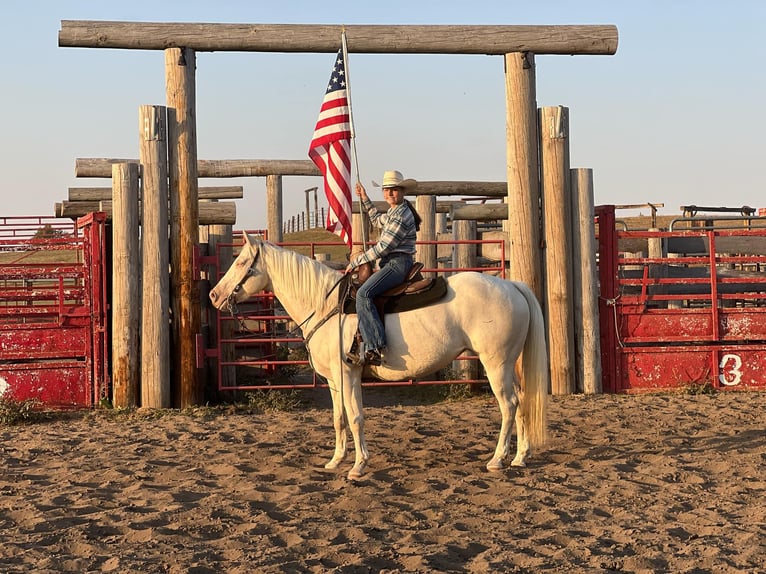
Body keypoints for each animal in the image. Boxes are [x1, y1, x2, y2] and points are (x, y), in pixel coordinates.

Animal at [207, 234, 548, 482]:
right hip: (510, 364)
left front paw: (358, 466)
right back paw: (520, 457)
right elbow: (339, 418)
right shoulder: (335, 380)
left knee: (509, 405)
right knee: (521, 400)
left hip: (495, 363)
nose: (213, 295)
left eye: (241, 261)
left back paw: (497, 460)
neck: (326, 305)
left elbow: (356, 417)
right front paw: (335, 460)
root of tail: (512, 285)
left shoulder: (348, 374)